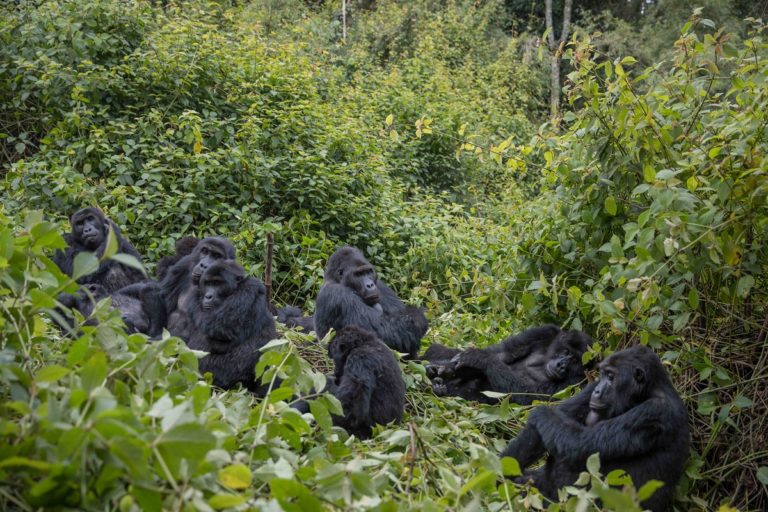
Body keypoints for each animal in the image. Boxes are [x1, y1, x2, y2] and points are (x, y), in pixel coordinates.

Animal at [424, 326, 592, 406]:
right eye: (566, 351)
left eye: (575, 361)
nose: (561, 365)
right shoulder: (544, 332)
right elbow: (501, 354)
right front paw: (445, 368)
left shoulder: (579, 383)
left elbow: (529, 398)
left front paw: (479, 358)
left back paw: (439, 387)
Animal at [504, 344, 688, 512]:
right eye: (603, 375)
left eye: (611, 376)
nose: (598, 391)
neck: (646, 391)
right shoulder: (591, 387)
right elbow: (557, 419)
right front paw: (502, 470)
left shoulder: (655, 411)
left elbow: (578, 442)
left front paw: (541, 412)